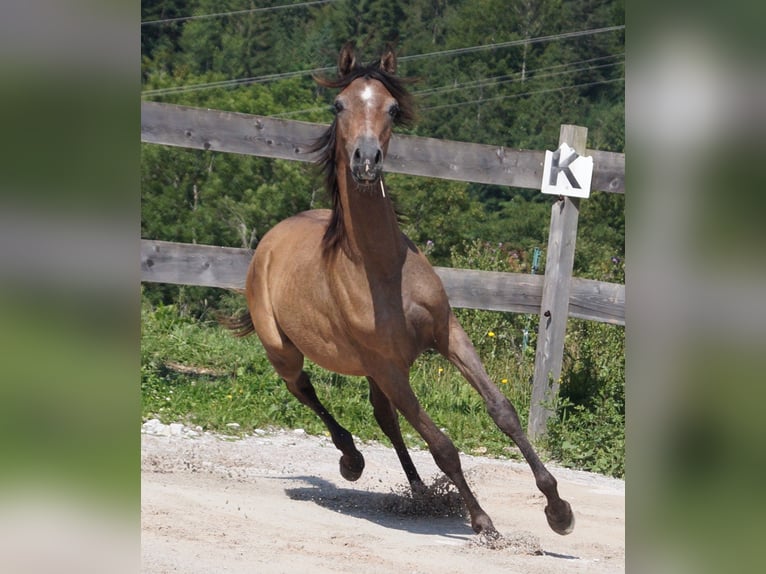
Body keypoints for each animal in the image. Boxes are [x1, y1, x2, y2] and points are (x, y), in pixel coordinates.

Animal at [228, 41, 576, 540]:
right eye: (338, 105)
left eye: (391, 108)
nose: (365, 160)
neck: (380, 269)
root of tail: (270, 241)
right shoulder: (391, 369)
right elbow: (443, 445)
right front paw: (482, 520)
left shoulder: (447, 334)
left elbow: (503, 410)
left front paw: (558, 510)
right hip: (285, 352)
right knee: (306, 391)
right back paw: (351, 460)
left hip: (371, 369)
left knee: (383, 416)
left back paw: (418, 491)